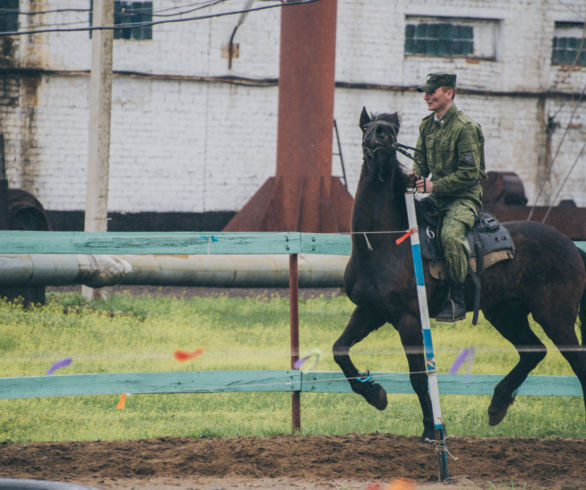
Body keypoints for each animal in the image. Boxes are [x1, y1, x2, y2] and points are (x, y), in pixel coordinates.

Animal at [334, 108, 584, 440]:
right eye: (370, 128)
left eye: (393, 130)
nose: (384, 139)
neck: (381, 243)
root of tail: (572, 247)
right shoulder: (370, 311)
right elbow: (340, 350)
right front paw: (376, 395)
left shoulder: (408, 320)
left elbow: (418, 377)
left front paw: (432, 430)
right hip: (506, 313)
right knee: (534, 351)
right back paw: (497, 405)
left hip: (556, 319)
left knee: (577, 363)